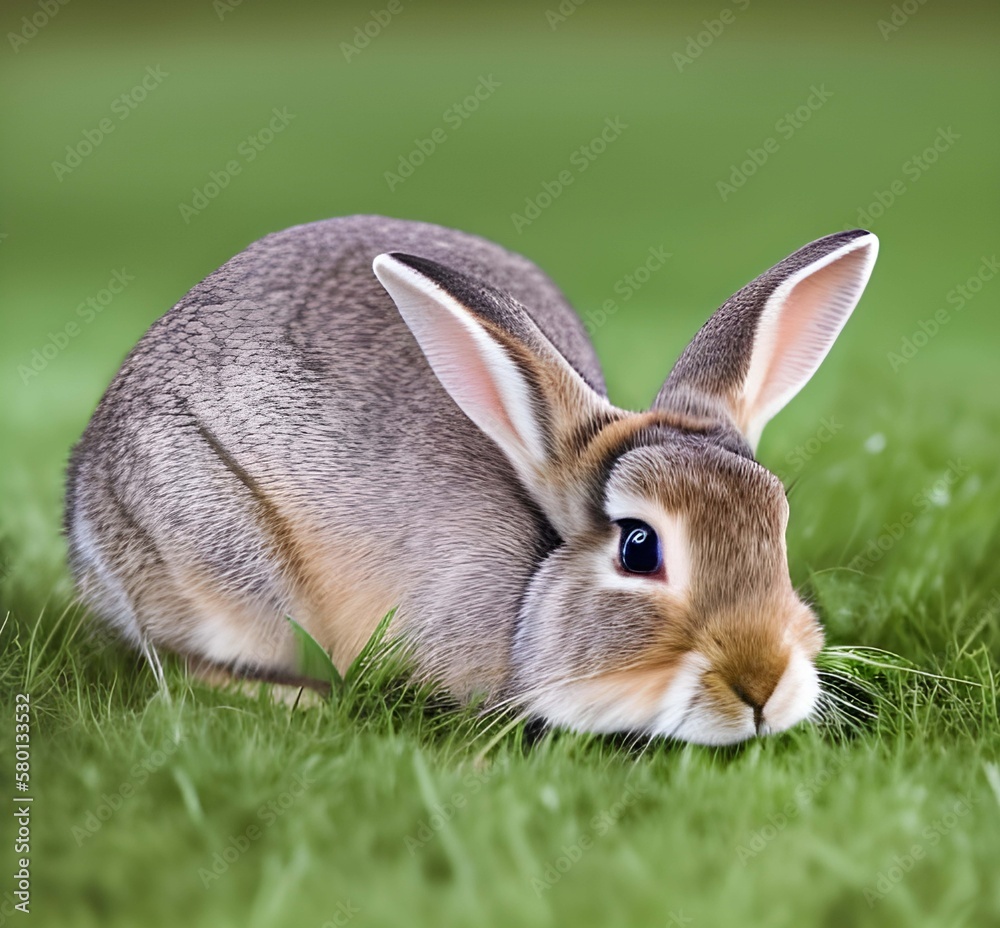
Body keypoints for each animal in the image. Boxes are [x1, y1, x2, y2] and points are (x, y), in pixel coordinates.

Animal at [64, 215, 878, 745]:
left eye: (776, 527)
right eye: (639, 547)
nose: (762, 684)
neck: (531, 600)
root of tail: (83, 513)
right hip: (223, 575)